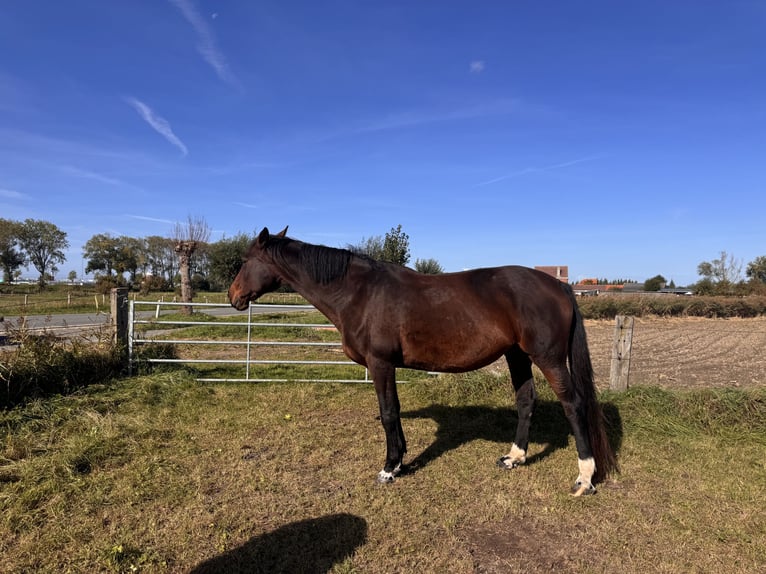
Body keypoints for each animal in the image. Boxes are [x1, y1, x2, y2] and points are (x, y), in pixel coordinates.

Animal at [228, 227, 618, 495]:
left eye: (246, 261)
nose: (234, 296)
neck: (359, 293)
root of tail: (560, 286)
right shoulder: (386, 366)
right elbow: (395, 411)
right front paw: (400, 460)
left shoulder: (381, 363)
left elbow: (388, 412)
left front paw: (389, 467)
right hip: (517, 355)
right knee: (526, 400)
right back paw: (514, 458)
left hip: (547, 357)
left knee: (573, 405)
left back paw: (584, 478)